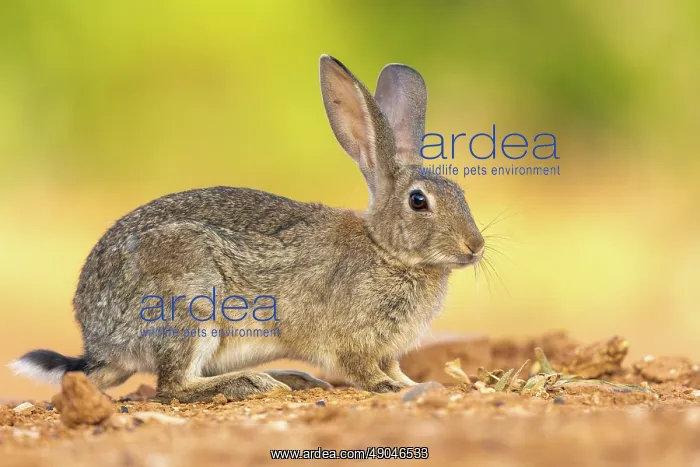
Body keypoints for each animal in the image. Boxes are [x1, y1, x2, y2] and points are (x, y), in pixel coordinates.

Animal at [9, 55, 485, 402]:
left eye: (460, 191)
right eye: (419, 201)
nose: (475, 247)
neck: (385, 249)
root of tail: (100, 344)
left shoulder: (387, 348)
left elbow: (394, 367)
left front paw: (411, 384)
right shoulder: (349, 339)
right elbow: (362, 368)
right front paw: (389, 387)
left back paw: (290, 378)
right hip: (190, 301)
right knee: (173, 386)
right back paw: (256, 383)